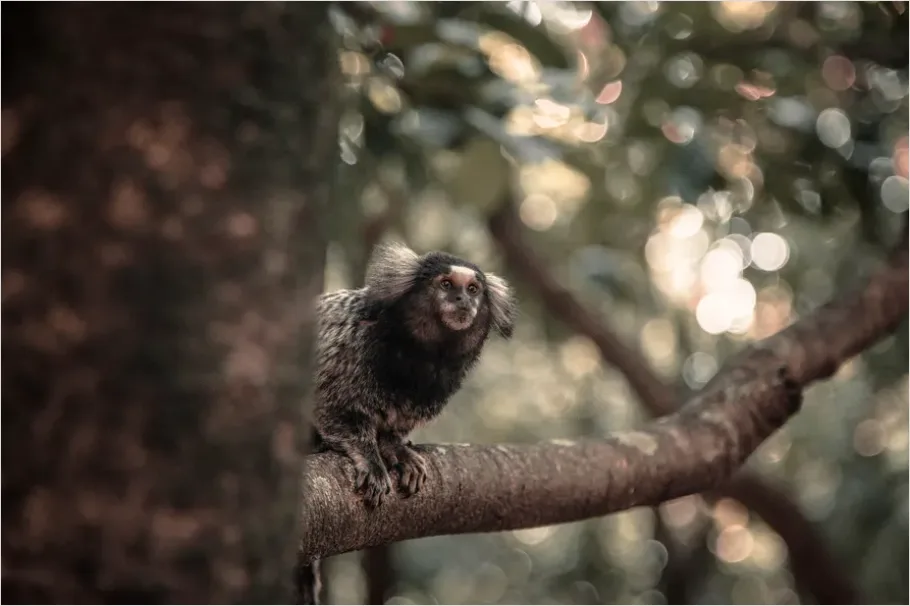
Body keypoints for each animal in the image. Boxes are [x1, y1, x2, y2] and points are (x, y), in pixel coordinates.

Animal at [297, 242, 516, 604]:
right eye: (446, 285)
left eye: (474, 289)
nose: (463, 300)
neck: (419, 355)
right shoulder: (347, 348)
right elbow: (329, 405)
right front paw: (370, 457)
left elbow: (395, 428)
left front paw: (395, 449)